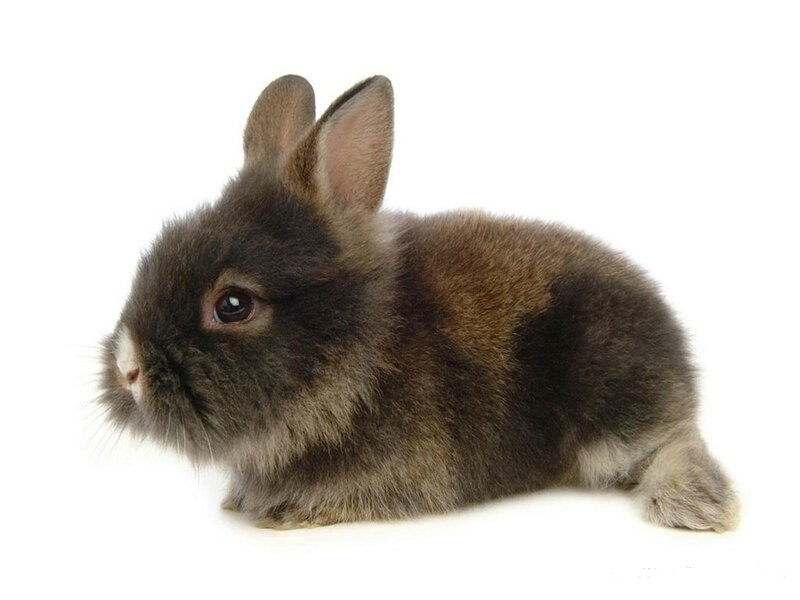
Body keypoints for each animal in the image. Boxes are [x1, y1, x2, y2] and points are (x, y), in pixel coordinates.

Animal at [99, 74, 739, 531]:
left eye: (232, 304)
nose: (129, 369)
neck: (362, 353)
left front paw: (288, 512)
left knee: (672, 443)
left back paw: (694, 505)